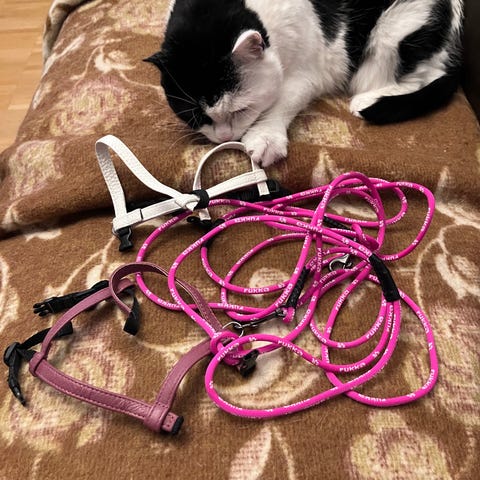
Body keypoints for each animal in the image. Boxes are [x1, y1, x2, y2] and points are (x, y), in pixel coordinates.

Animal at [145, 0, 464, 166]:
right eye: (195, 116)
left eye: (241, 110)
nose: (225, 137)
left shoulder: (310, 70)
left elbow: (283, 100)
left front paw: (266, 138)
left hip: (393, 34)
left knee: (428, 76)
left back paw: (369, 100)